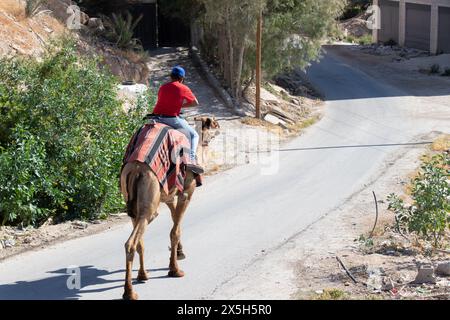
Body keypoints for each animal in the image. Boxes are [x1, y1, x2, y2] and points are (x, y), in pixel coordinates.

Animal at [118, 117, 219, 300]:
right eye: (214, 123)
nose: (219, 127)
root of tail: (136, 169)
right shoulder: (186, 191)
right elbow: (175, 230)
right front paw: (175, 269)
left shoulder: (169, 195)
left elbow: (174, 220)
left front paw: (179, 252)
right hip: (150, 198)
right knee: (131, 242)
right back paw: (130, 292)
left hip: (133, 203)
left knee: (139, 239)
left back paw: (143, 275)